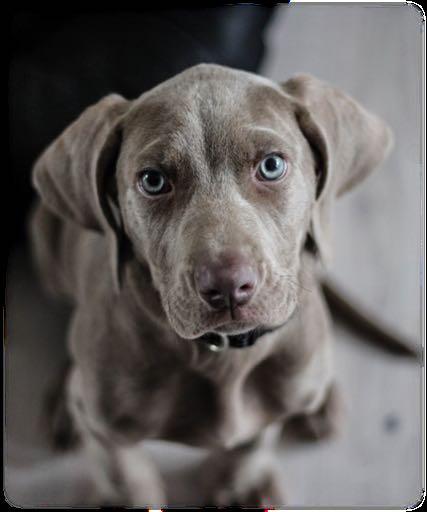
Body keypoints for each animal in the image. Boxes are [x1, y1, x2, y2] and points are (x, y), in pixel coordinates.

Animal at [30, 64, 394, 508]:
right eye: (153, 180)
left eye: (271, 166)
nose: (228, 286)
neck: (223, 356)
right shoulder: (104, 426)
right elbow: (123, 472)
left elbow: (254, 440)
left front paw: (240, 485)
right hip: (45, 243)